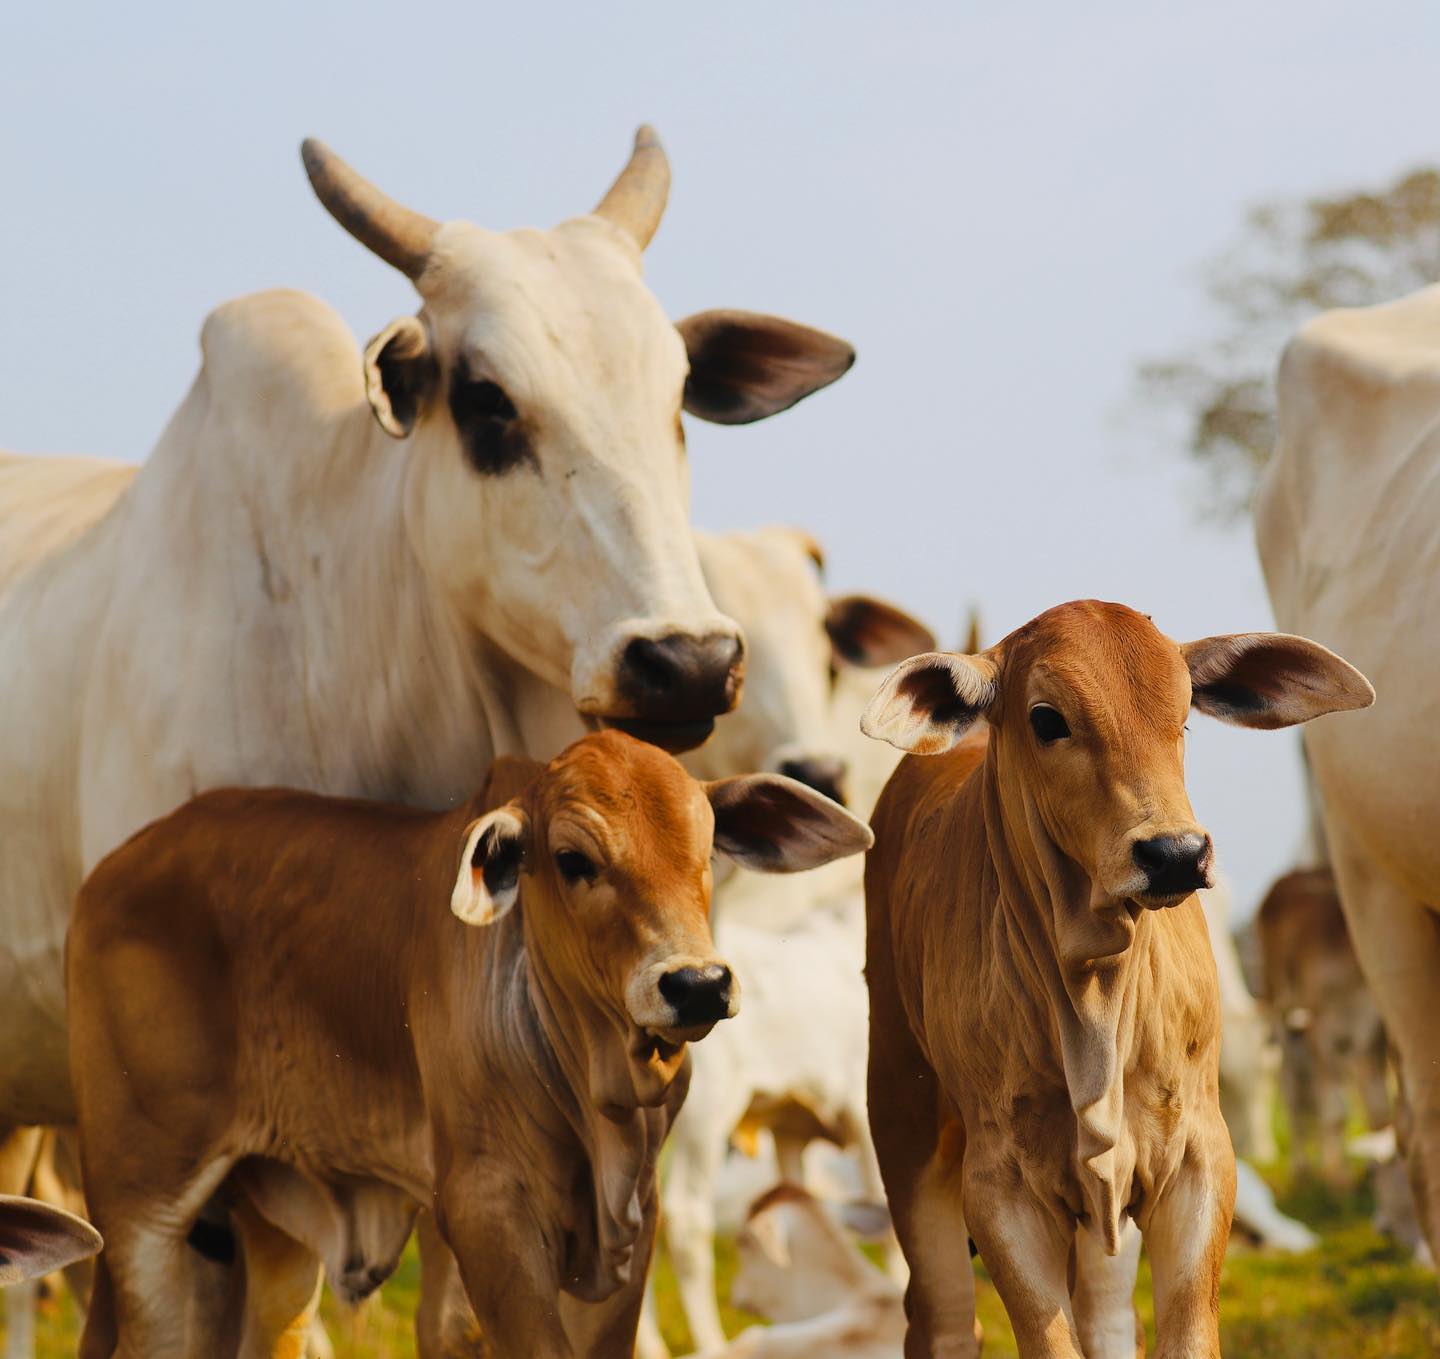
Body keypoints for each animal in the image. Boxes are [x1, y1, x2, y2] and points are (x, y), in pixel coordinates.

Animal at [67, 730, 874, 1359]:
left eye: (708, 849)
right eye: (573, 859)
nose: (697, 983)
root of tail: (109, 871)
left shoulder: (627, 1226)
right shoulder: (486, 1211)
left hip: (266, 1220)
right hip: (139, 1200)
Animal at [859, 600, 1372, 1359]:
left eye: (1184, 714)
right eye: (1047, 719)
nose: (1176, 853)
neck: (1093, 996)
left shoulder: (1197, 1156)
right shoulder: (999, 1187)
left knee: (1105, 1317)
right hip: (904, 1119)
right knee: (943, 1318)